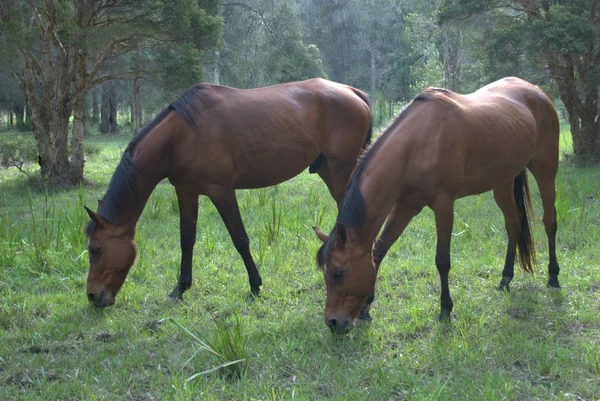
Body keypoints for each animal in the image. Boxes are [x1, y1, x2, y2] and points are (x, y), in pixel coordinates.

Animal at [84, 79, 370, 308]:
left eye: (95, 249)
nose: (93, 296)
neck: (182, 135)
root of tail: (352, 91)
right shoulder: (186, 191)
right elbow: (186, 239)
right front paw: (180, 288)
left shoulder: (221, 191)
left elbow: (239, 239)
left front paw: (255, 285)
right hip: (327, 170)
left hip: (341, 170)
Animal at [314, 77, 564, 332]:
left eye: (338, 272)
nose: (333, 322)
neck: (417, 144)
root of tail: (537, 92)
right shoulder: (406, 206)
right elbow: (379, 251)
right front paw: (366, 309)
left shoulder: (444, 205)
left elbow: (442, 260)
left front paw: (445, 308)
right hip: (502, 182)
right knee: (513, 224)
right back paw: (505, 278)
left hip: (545, 171)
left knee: (550, 222)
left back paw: (553, 277)